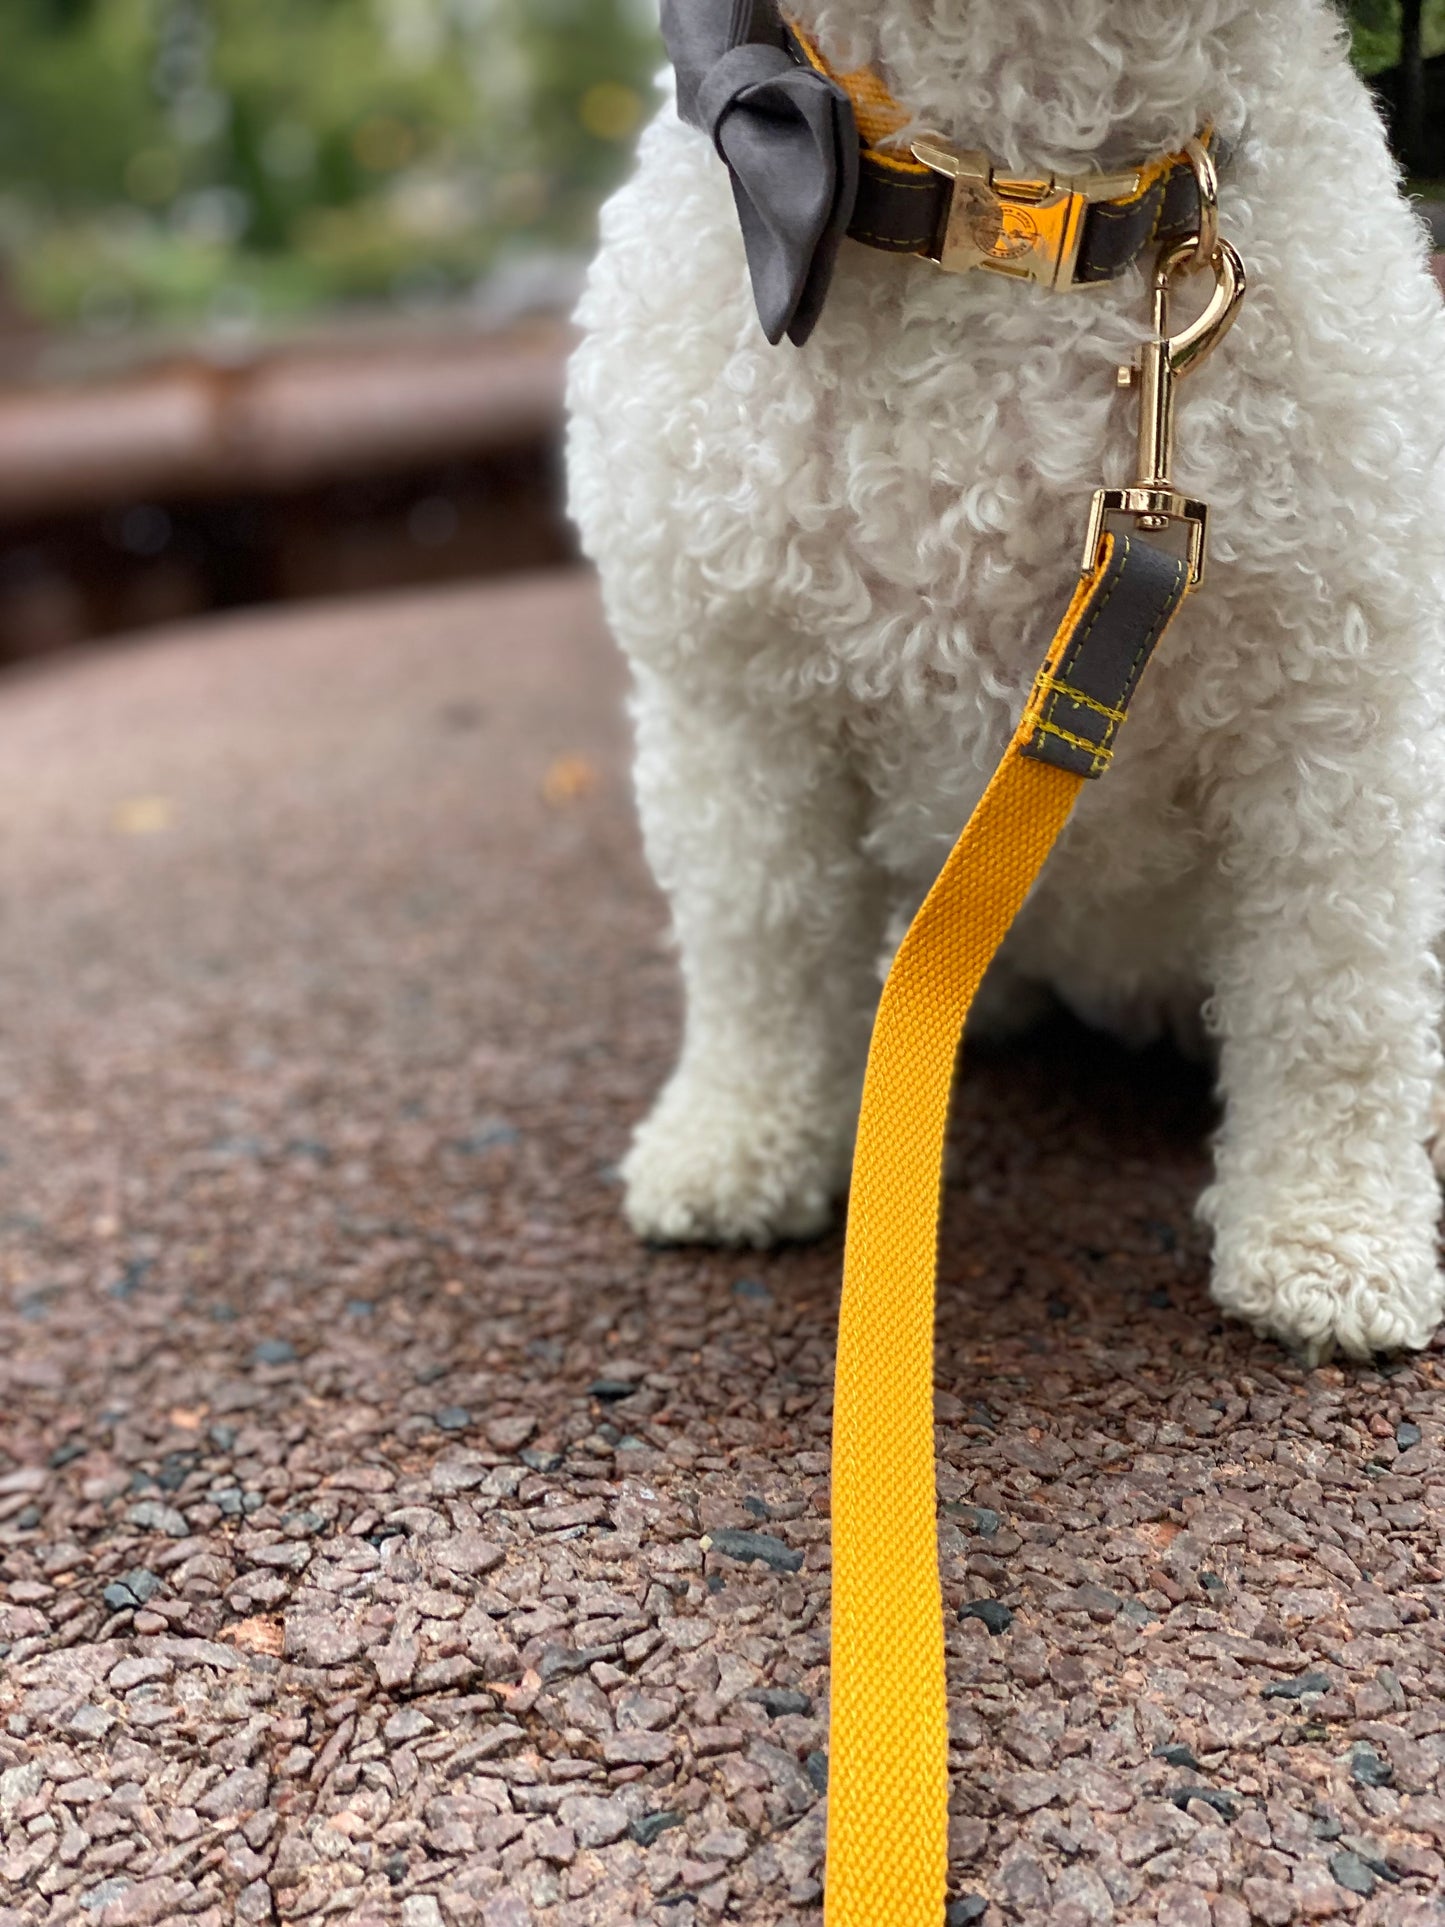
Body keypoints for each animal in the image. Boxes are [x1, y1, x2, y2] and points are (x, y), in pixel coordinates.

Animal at [570, 0, 1445, 1364]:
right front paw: (735, 1146)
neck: (1015, 208)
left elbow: (1335, 994)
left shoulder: (1334, 704)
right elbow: (758, 943)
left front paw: (1329, 1239)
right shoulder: (733, 698)